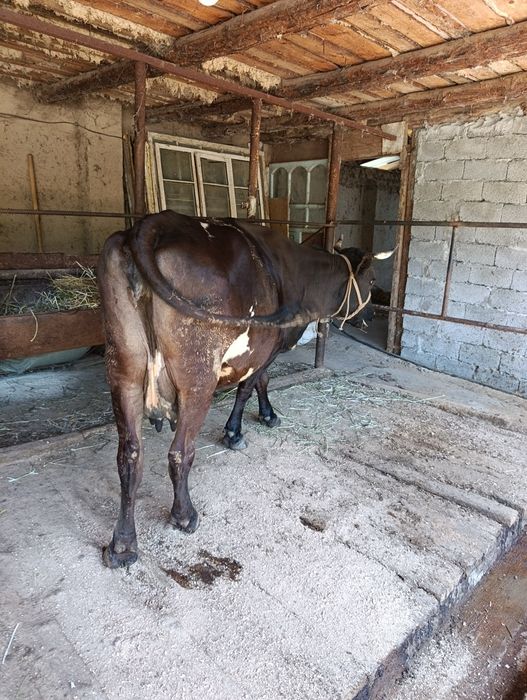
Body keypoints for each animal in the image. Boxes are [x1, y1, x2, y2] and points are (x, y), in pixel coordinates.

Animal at [98, 210, 376, 568]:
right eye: (372, 281)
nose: (370, 317)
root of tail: (149, 225)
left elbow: (257, 384)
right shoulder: (265, 348)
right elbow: (252, 386)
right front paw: (241, 429)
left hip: (124, 372)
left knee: (130, 456)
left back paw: (122, 545)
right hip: (198, 378)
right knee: (180, 452)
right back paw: (184, 515)